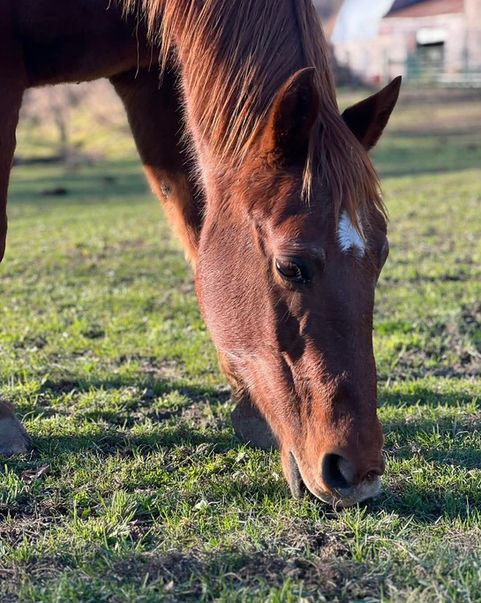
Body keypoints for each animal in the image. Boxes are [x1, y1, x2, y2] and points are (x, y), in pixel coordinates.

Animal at [0, 0, 400, 507]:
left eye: (381, 256)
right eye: (290, 267)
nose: (358, 474)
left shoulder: (148, 76)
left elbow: (193, 216)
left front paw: (250, 410)